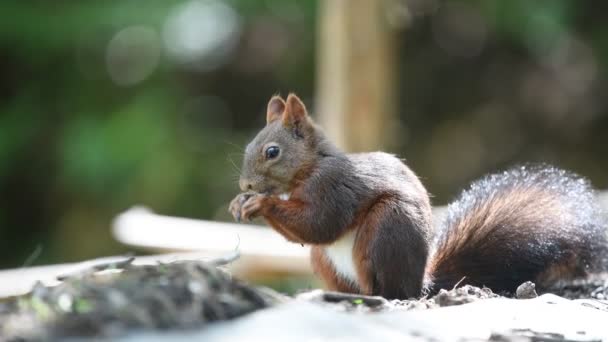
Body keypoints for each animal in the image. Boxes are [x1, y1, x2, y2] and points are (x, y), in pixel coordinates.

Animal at [229, 93, 608, 300]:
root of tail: (422, 282)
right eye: (247, 148)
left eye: (272, 152)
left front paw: (261, 203)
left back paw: (377, 295)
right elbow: (310, 232)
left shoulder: (334, 187)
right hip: (324, 260)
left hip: (386, 229)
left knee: (389, 291)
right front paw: (239, 203)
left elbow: (320, 224)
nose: (245, 186)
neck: (309, 168)